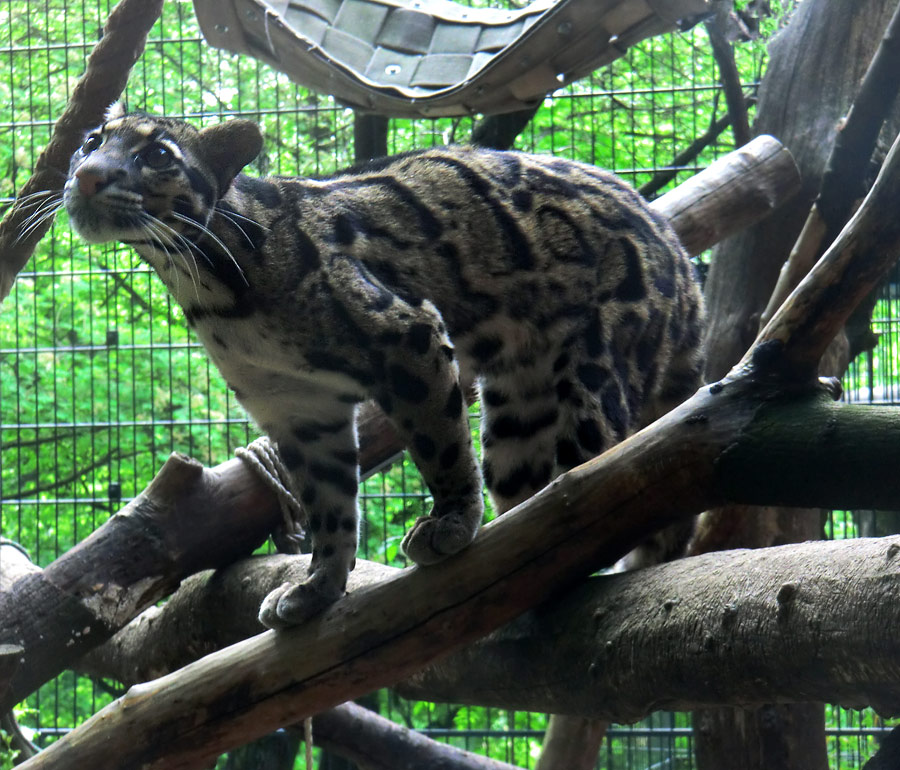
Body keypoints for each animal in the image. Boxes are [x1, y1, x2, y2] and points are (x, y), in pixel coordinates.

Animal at [61, 109, 704, 624]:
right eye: (90, 141)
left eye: (157, 156)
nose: (87, 174)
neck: (203, 286)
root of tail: (679, 254)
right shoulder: (298, 408)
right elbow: (330, 508)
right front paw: (318, 587)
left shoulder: (408, 335)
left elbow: (441, 447)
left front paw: (451, 520)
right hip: (521, 415)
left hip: (595, 372)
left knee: (601, 487)